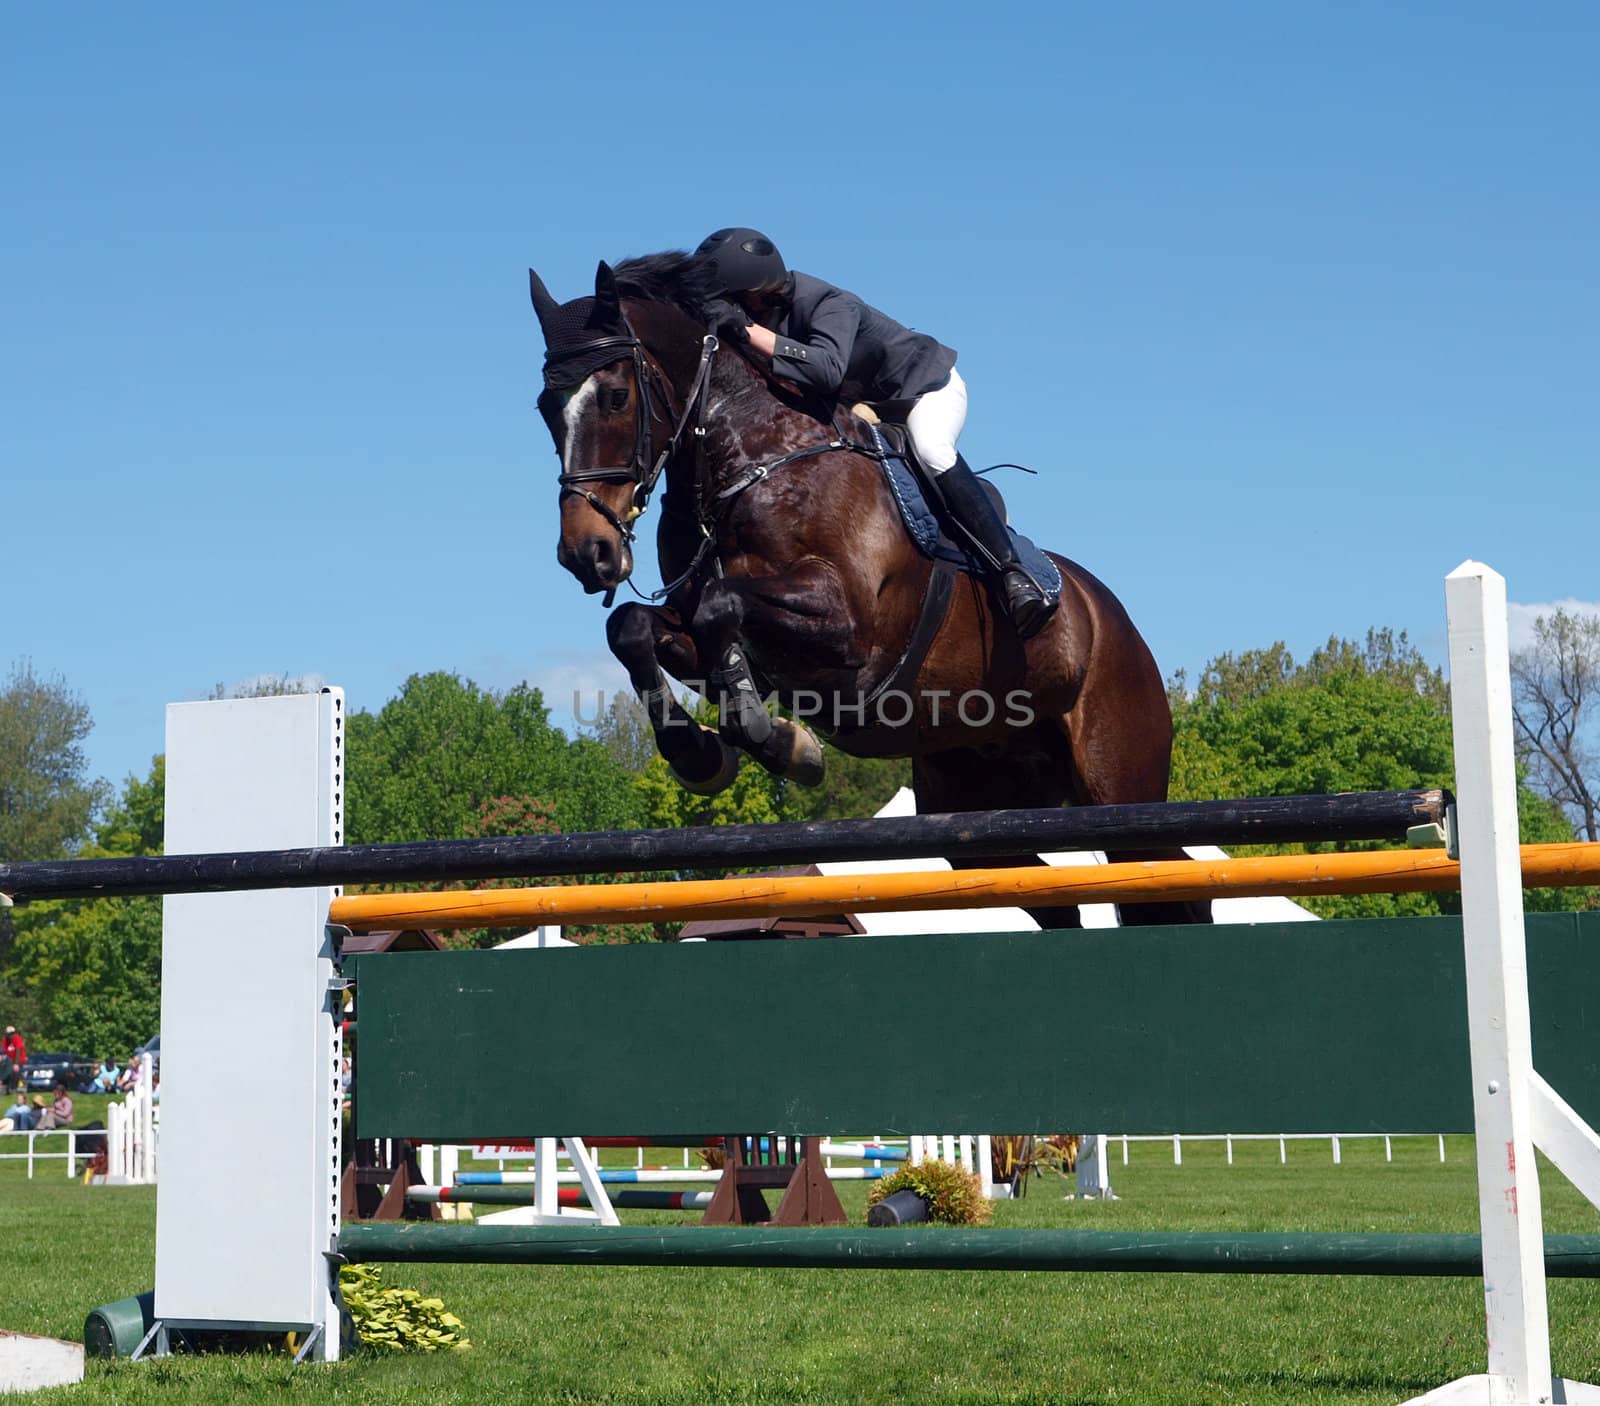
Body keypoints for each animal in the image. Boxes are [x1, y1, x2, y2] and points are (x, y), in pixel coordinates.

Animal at [531, 254, 1203, 927]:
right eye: (544, 407)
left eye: (616, 397)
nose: (586, 553)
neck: (751, 463)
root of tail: (1112, 617)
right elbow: (636, 628)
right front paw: (710, 751)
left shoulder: (847, 630)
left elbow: (721, 609)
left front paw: (767, 734)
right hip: (971, 802)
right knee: (1048, 894)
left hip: (1119, 783)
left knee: (1164, 874)